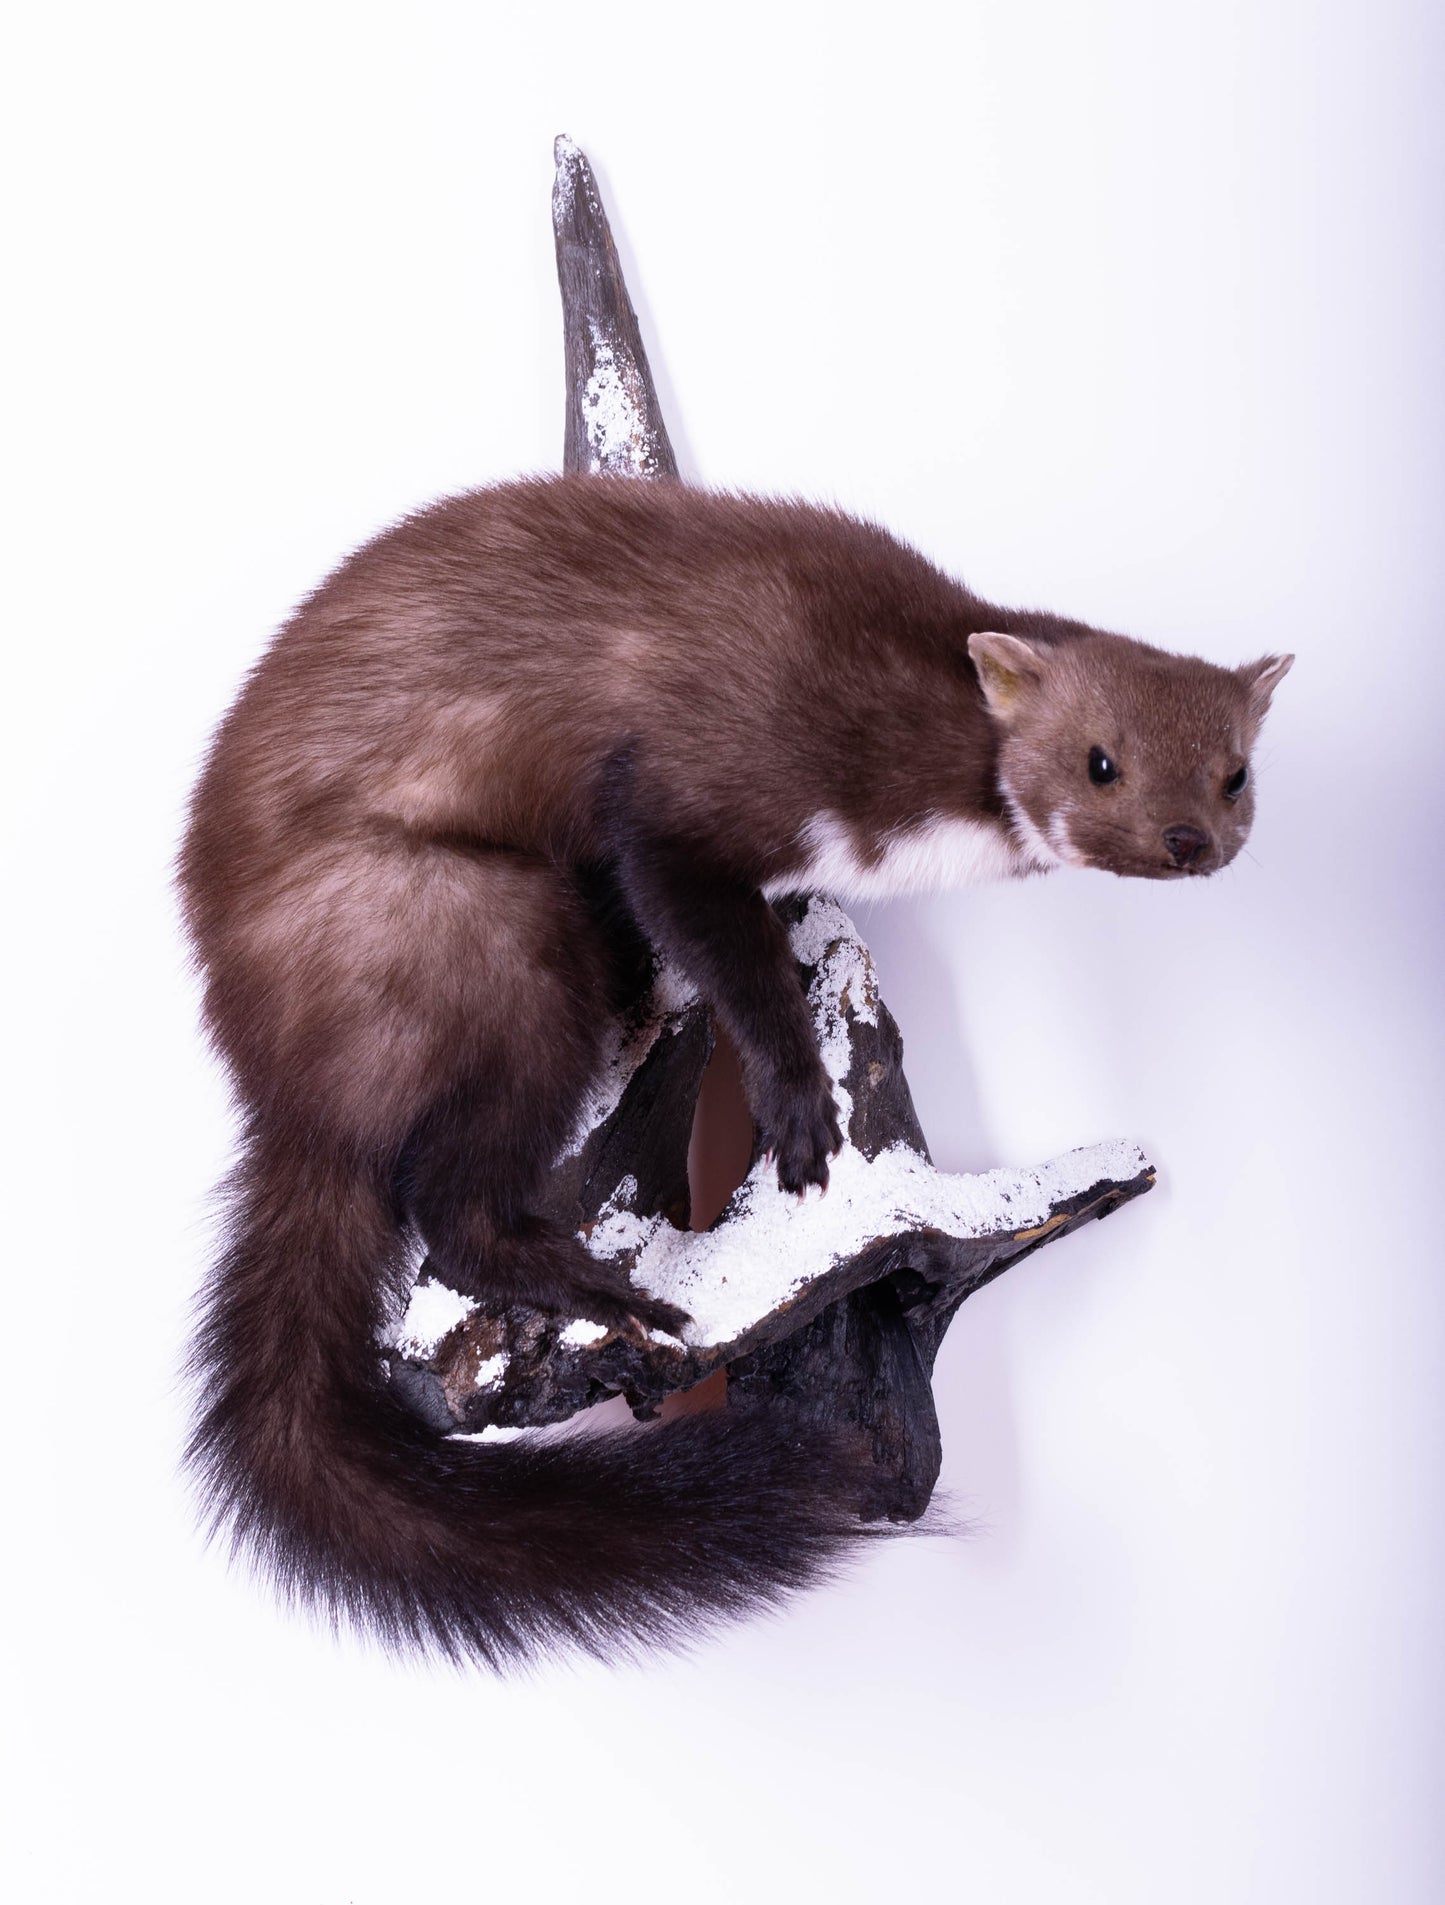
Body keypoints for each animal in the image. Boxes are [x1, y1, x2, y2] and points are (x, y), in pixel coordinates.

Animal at [179, 475, 1292, 1665]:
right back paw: (602, 1286)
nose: (1184, 838)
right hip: (483, 924)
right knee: (450, 1200)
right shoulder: (700, 782)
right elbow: (714, 932)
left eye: (1234, 773)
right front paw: (798, 1105)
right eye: (1099, 758)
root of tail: (273, 1064)